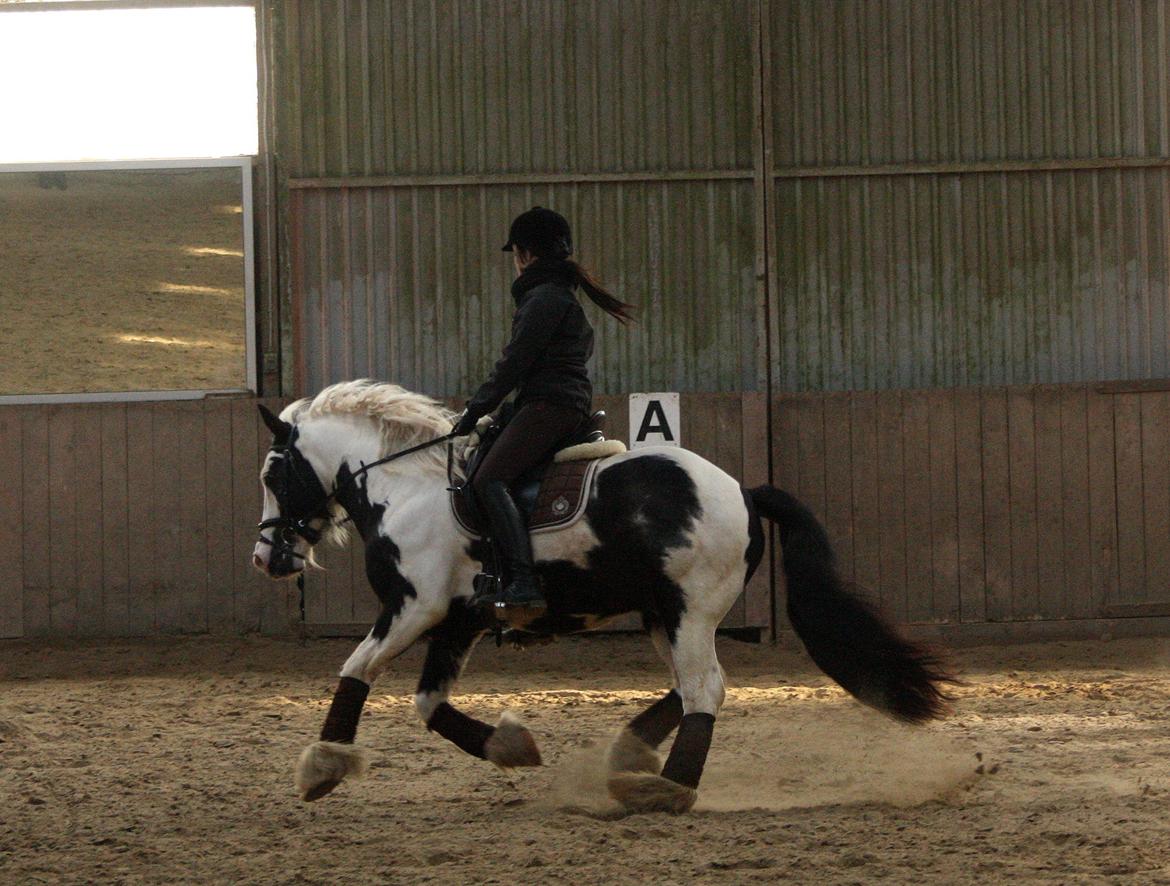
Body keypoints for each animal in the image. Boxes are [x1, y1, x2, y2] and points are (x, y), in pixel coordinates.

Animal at [251, 376, 954, 809]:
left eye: (273, 474)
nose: (266, 557)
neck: (407, 488)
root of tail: (745, 490)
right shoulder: (457, 620)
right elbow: (429, 705)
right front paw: (510, 745)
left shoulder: (413, 608)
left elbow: (355, 669)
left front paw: (322, 765)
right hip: (663, 613)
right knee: (698, 686)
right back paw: (632, 753)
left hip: (690, 610)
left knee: (705, 689)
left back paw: (666, 790)